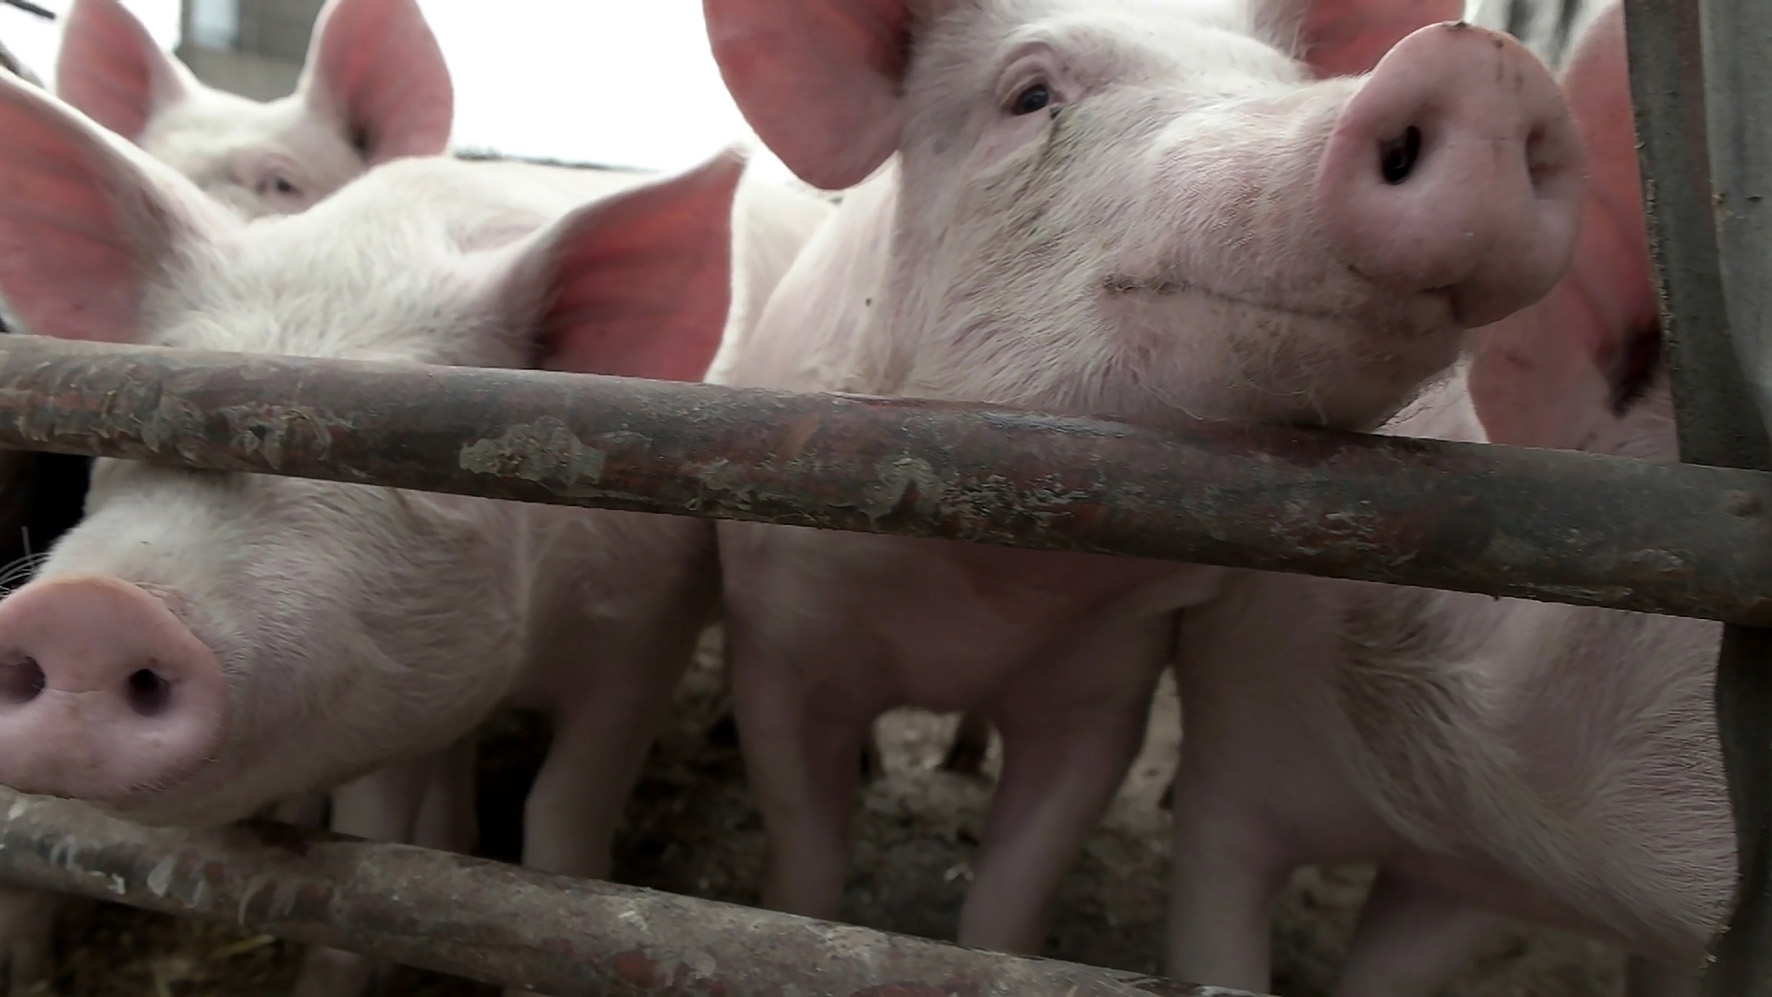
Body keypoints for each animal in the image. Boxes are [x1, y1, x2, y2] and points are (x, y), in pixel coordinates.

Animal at [0, 73, 823, 997]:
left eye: (415, 458)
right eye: (140, 408)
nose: (91, 609)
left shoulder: (648, 634)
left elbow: (563, 817)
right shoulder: (395, 680)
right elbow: (374, 833)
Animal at [701, 0, 1585, 953]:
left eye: (1283, 83)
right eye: (1031, 95)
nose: (1489, 63)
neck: (980, 599)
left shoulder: (1106, 688)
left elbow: (1014, 892)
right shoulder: (777, 640)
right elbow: (805, 853)